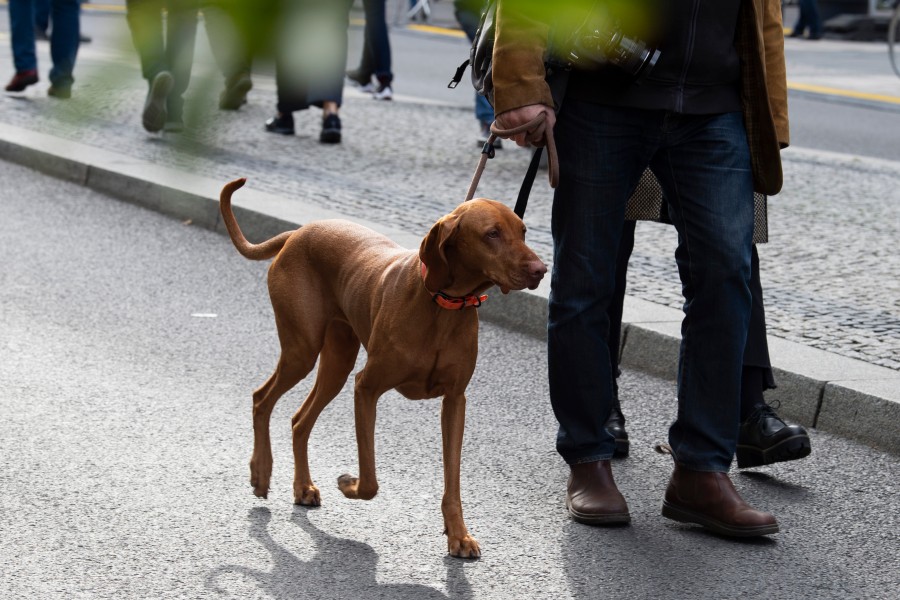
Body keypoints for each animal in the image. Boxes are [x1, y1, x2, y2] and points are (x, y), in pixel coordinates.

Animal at [220, 178, 548, 556]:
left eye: (523, 231)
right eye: (492, 233)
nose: (541, 270)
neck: (442, 307)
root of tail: (298, 232)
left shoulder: (455, 401)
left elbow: (452, 480)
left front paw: (459, 535)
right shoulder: (366, 387)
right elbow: (370, 480)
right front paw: (348, 483)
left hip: (337, 363)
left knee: (299, 420)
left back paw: (302, 486)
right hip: (302, 351)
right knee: (262, 398)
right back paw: (261, 472)